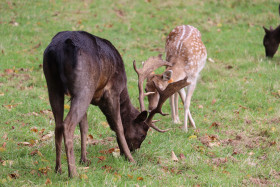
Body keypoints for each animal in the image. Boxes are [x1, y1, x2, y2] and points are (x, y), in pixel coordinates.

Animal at [42, 30, 189, 177]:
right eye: (143, 134)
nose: (135, 149)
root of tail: (61, 49)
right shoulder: (113, 91)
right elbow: (118, 126)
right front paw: (131, 159)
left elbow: (84, 126)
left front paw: (84, 159)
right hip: (84, 86)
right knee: (67, 125)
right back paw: (73, 173)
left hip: (52, 84)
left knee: (58, 125)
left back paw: (58, 169)